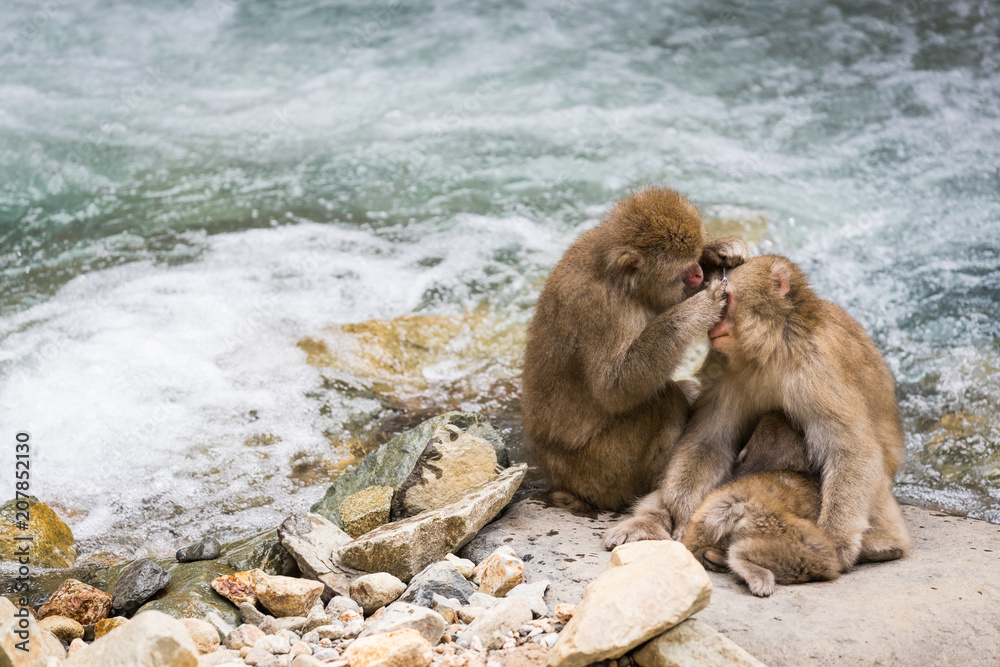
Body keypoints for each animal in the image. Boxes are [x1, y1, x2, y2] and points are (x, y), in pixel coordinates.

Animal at [520, 188, 748, 512]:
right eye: (686, 271)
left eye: (695, 263)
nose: (699, 273)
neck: (622, 283)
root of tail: (559, 480)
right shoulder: (602, 308)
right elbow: (615, 387)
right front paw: (699, 308)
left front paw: (720, 249)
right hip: (601, 472)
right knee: (665, 401)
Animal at [600, 254, 916, 568]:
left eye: (726, 299)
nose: (711, 325)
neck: (773, 347)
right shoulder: (725, 369)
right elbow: (710, 441)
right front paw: (682, 511)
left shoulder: (819, 369)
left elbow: (851, 450)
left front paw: (835, 541)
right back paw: (645, 525)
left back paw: (882, 546)